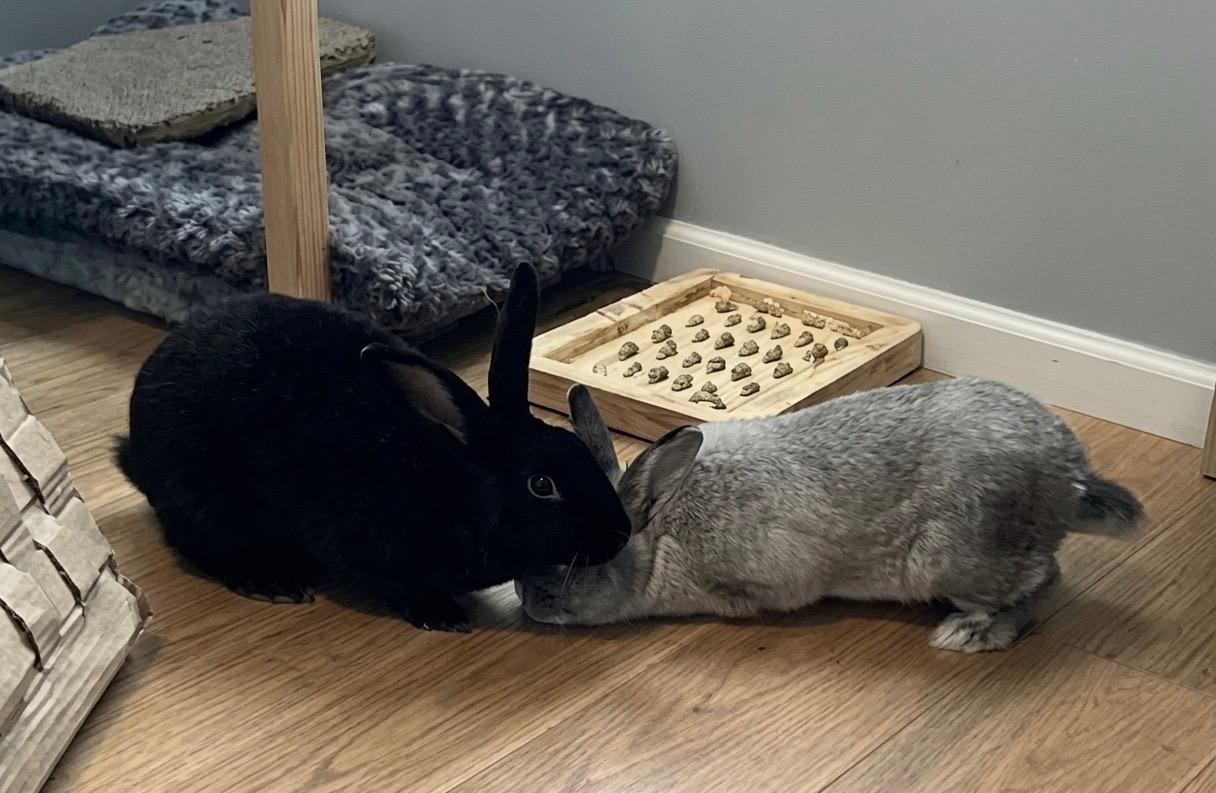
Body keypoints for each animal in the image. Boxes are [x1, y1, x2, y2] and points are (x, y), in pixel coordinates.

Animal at [118, 263, 630, 632]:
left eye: (574, 445)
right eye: (541, 485)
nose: (621, 535)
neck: (452, 486)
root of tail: (131, 447)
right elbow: (398, 586)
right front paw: (443, 615)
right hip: (205, 501)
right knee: (198, 546)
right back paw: (271, 580)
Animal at [517, 378, 1143, 651]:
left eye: (579, 560)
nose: (527, 599)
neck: (662, 532)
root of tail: (1070, 475)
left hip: (960, 560)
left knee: (1042, 584)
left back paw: (969, 634)